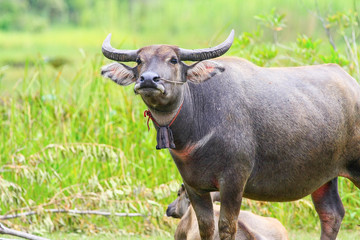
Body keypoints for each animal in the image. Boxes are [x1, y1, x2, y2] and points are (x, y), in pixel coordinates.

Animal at [100, 30, 360, 240]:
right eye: (139, 61)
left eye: (173, 59)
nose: (148, 80)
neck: (197, 127)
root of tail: (352, 84)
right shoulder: (194, 185)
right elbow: (206, 228)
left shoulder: (234, 181)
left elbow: (225, 227)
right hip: (324, 178)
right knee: (331, 214)